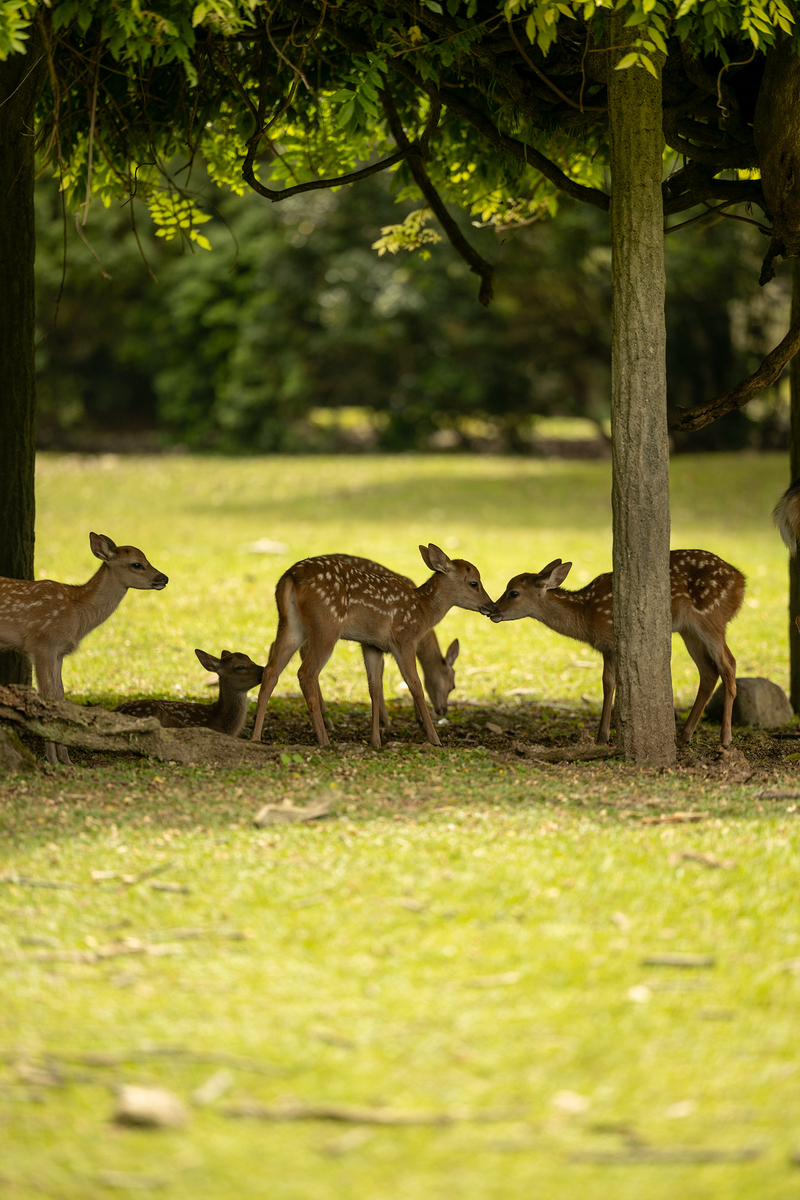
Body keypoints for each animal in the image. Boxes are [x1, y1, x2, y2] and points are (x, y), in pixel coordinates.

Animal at [0, 532, 167, 763]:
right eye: (137, 564)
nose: (164, 578)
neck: (76, 613)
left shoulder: (59, 652)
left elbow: (60, 695)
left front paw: (66, 759)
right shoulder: (41, 644)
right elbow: (47, 696)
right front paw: (53, 760)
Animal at [491, 549, 748, 748]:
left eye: (513, 592)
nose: (492, 611)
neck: (587, 616)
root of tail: (741, 582)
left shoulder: (612, 640)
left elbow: (611, 684)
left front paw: (602, 737)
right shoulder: (607, 647)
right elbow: (607, 683)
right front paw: (602, 736)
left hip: (711, 617)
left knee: (729, 664)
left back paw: (725, 739)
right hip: (689, 630)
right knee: (708, 671)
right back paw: (683, 737)